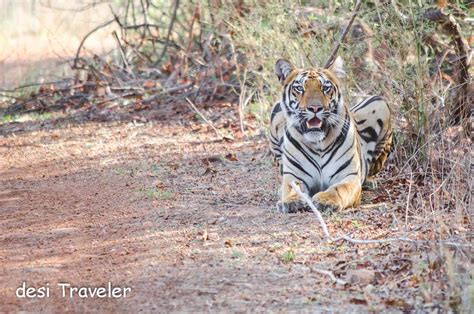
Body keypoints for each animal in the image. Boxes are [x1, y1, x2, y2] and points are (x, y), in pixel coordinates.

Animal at [270, 56, 392, 213]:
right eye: (299, 88)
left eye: (325, 88)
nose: (315, 108)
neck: (317, 144)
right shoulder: (294, 175)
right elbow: (293, 188)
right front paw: (291, 201)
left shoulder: (348, 176)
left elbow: (338, 189)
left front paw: (325, 200)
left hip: (380, 102)